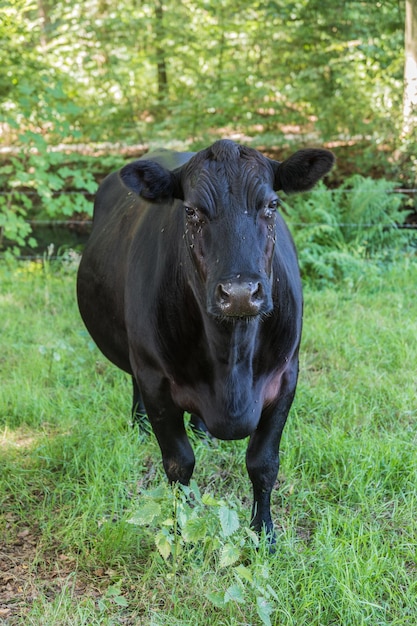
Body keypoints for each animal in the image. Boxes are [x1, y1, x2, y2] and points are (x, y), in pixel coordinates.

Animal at [76, 138, 334, 540]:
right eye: (192, 211)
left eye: (272, 205)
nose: (241, 293)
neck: (231, 360)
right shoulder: (154, 378)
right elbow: (178, 463)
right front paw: (183, 526)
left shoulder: (286, 375)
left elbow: (263, 463)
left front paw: (264, 534)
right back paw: (140, 424)